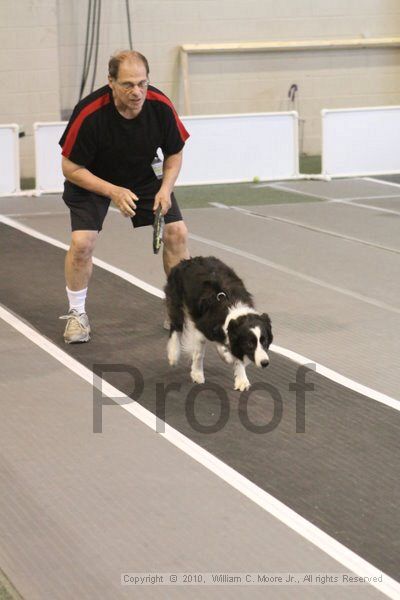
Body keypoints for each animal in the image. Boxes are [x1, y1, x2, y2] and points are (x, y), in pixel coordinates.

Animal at [164, 256, 274, 390]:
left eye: (265, 341)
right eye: (249, 344)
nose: (265, 363)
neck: (231, 307)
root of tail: (188, 260)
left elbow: (237, 357)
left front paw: (241, 379)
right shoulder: (201, 328)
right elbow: (200, 354)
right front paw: (197, 374)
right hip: (176, 298)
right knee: (176, 326)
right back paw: (173, 355)